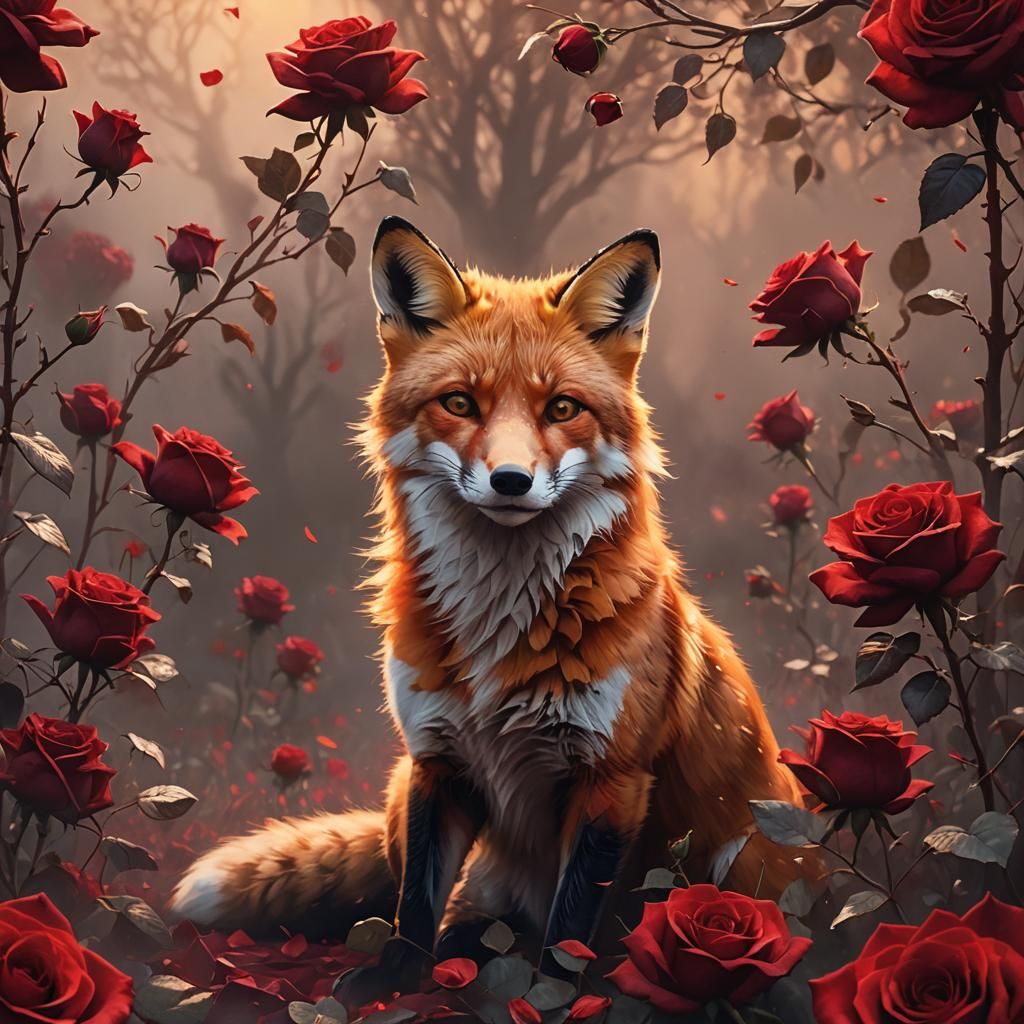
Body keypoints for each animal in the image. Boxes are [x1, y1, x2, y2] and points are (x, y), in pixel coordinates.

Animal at [171, 217, 810, 1000]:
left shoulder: (611, 779)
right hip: (401, 792)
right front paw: (391, 980)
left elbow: (569, 929)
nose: (511, 480)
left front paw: (551, 997)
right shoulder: (438, 759)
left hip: (740, 861)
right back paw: (466, 949)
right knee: (458, 911)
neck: (499, 628)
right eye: (460, 403)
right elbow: (417, 901)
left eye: (561, 408)